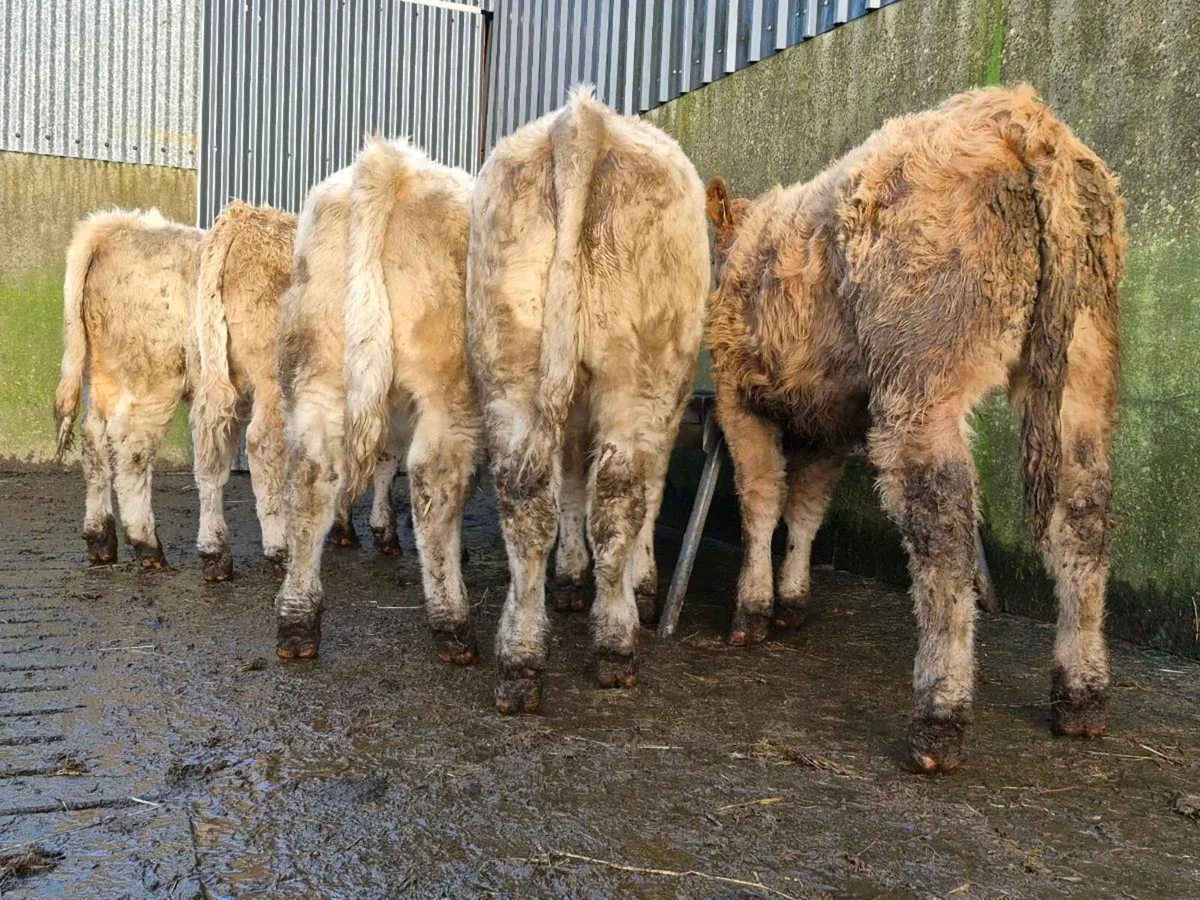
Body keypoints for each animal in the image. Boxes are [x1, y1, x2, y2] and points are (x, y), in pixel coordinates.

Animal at [275, 138, 479, 663]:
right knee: (433, 481)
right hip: (449, 385)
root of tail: (390, 163)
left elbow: (384, 461)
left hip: (320, 369)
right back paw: (452, 623)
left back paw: (297, 622)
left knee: (313, 476)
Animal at [466, 88, 710, 713]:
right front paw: (640, 585)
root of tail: (581, 122)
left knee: (526, 499)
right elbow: (648, 492)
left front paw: (573, 578)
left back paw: (521, 659)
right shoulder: (666, 407)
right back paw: (616, 644)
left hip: (512, 361)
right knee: (620, 498)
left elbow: (571, 482)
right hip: (638, 373)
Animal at [704, 84, 1126, 773]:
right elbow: (807, 508)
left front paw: (753, 610)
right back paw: (1081, 697)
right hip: (1081, 374)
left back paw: (938, 719)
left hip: (920, 381)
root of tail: (1016, 111)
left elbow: (762, 502)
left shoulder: (742, 399)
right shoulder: (835, 419)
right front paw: (792, 600)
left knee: (944, 530)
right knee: (1083, 519)